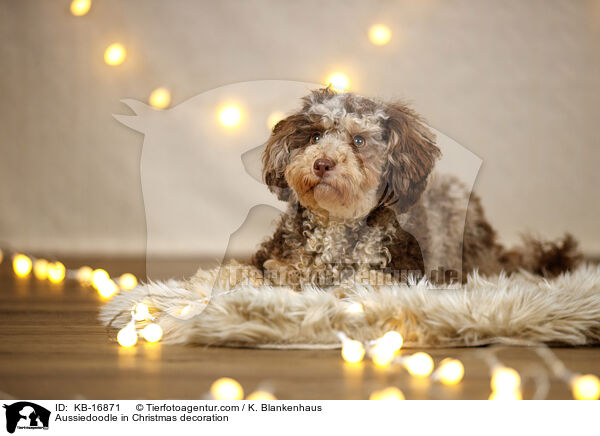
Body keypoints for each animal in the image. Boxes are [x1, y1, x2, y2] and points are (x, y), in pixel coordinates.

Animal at [250, 87, 580, 288]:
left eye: (359, 141)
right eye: (315, 137)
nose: (321, 164)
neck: (336, 222)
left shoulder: (399, 272)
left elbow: (363, 282)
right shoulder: (276, 261)